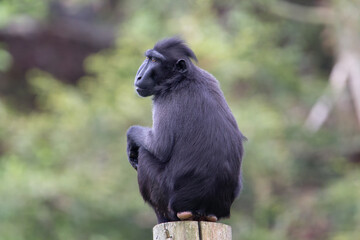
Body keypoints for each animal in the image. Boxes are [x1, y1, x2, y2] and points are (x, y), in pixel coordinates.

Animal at [126, 37, 245, 223]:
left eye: (154, 61)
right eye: (148, 58)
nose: (138, 76)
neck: (183, 78)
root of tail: (203, 207)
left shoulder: (165, 99)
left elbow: (159, 146)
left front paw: (131, 138)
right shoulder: (210, 77)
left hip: (167, 199)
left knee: (145, 154)